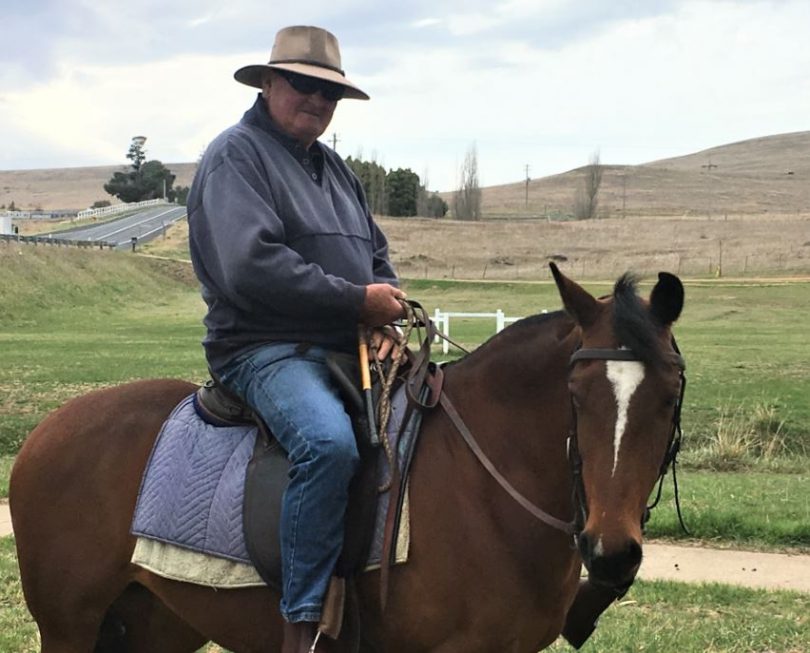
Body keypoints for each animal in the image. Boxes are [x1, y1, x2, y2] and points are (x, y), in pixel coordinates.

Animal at [11, 262, 680, 648]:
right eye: (576, 395)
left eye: (670, 397)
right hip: (69, 628)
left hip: (159, 622)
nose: (610, 551)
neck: (487, 487)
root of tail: (44, 432)